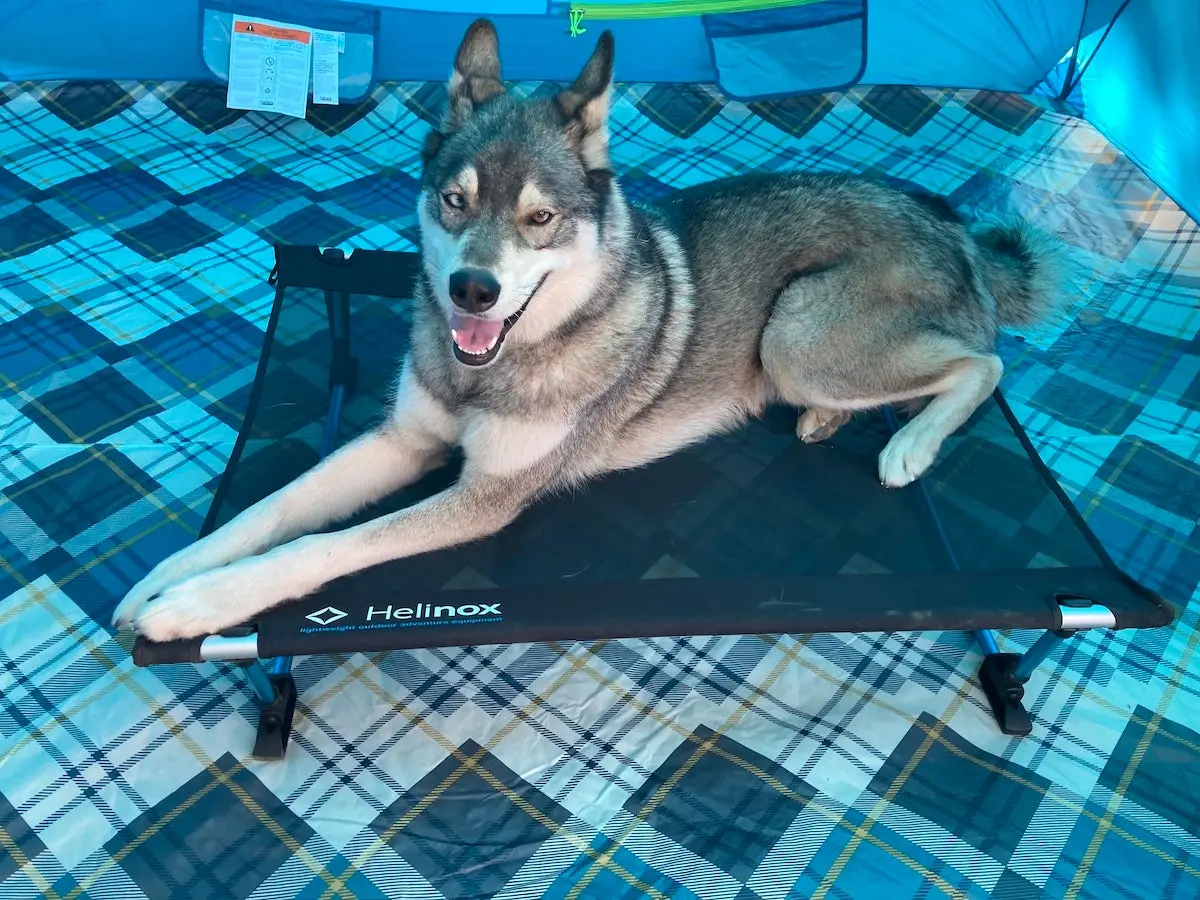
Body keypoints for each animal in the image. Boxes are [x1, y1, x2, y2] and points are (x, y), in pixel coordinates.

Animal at [114, 19, 1060, 643]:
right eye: (453, 200)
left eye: (539, 219)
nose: (472, 290)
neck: (492, 369)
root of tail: (954, 226)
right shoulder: (401, 442)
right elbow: (267, 512)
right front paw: (164, 579)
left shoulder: (485, 498)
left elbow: (318, 546)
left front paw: (199, 607)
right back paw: (832, 422)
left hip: (794, 335)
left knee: (983, 364)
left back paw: (908, 447)